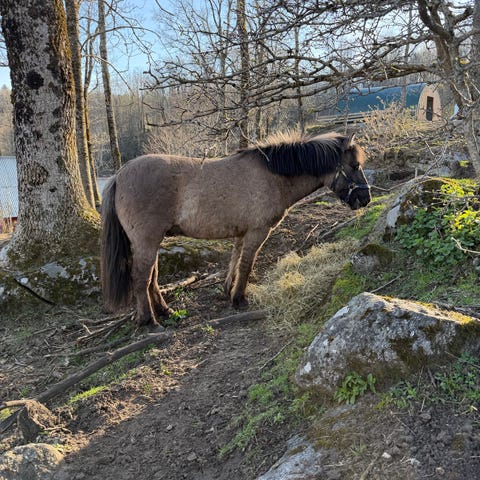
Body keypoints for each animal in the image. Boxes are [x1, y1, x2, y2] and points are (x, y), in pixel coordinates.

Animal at [100, 131, 371, 329]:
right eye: (354, 165)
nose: (365, 199)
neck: (273, 176)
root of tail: (119, 176)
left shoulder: (242, 234)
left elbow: (235, 261)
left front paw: (228, 290)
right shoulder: (258, 232)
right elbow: (246, 265)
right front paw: (239, 299)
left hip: (152, 242)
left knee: (152, 279)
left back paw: (164, 311)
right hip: (147, 241)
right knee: (141, 278)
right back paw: (149, 321)